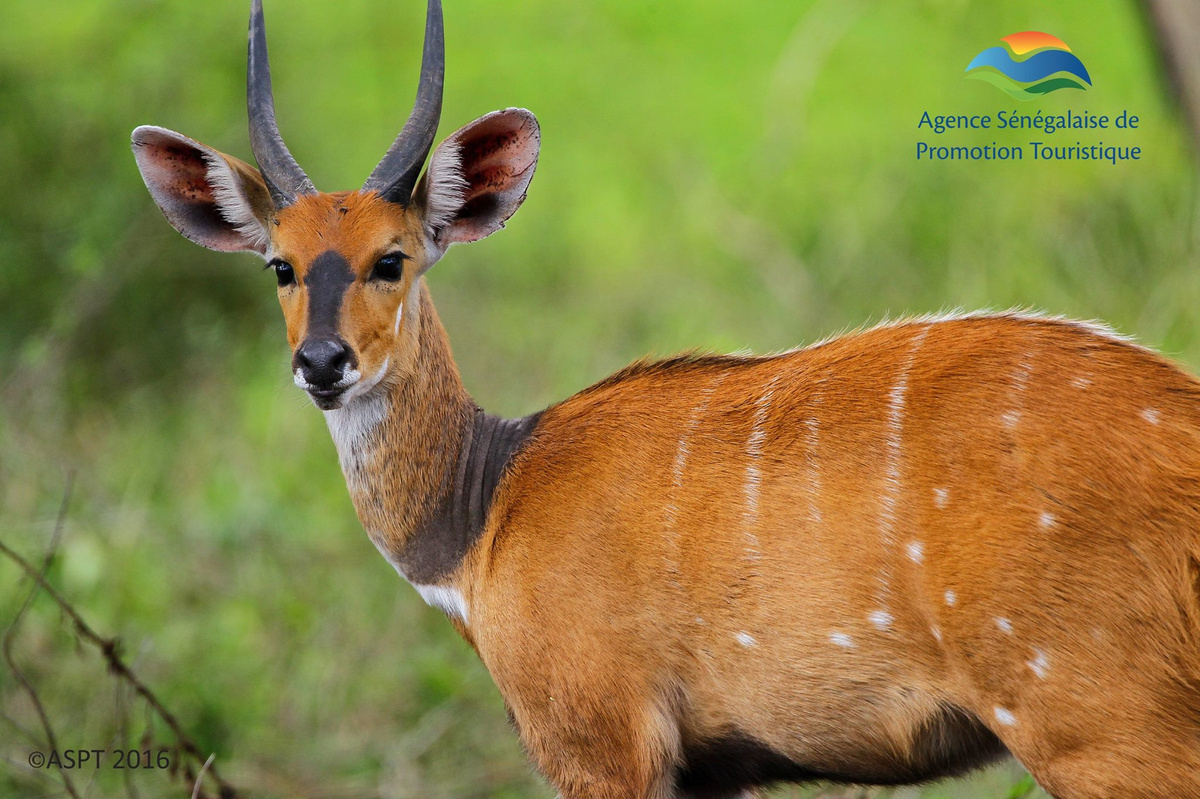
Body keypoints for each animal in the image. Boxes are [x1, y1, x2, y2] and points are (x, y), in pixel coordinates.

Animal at [131, 1, 1200, 796]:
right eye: (279, 265)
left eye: (392, 258)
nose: (322, 363)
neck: (484, 515)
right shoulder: (717, 767)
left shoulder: (601, 741)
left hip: (1098, 723)